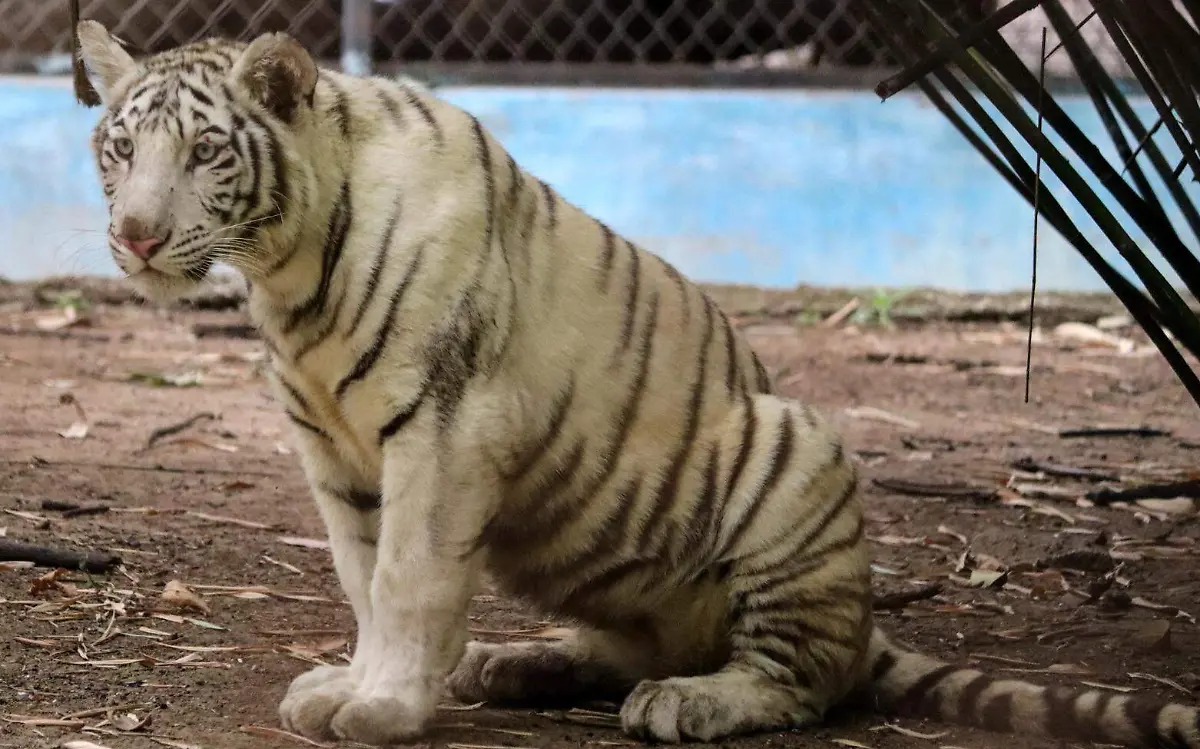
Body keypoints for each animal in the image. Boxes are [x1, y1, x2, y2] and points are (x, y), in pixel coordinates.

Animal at [73, 18, 1200, 748]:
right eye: (119, 148)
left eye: (206, 151)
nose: (134, 236)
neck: (289, 266)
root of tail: (867, 617)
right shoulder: (333, 449)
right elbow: (360, 572)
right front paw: (360, 681)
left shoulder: (443, 426)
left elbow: (405, 576)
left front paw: (383, 705)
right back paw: (514, 662)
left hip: (797, 449)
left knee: (807, 677)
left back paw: (686, 701)